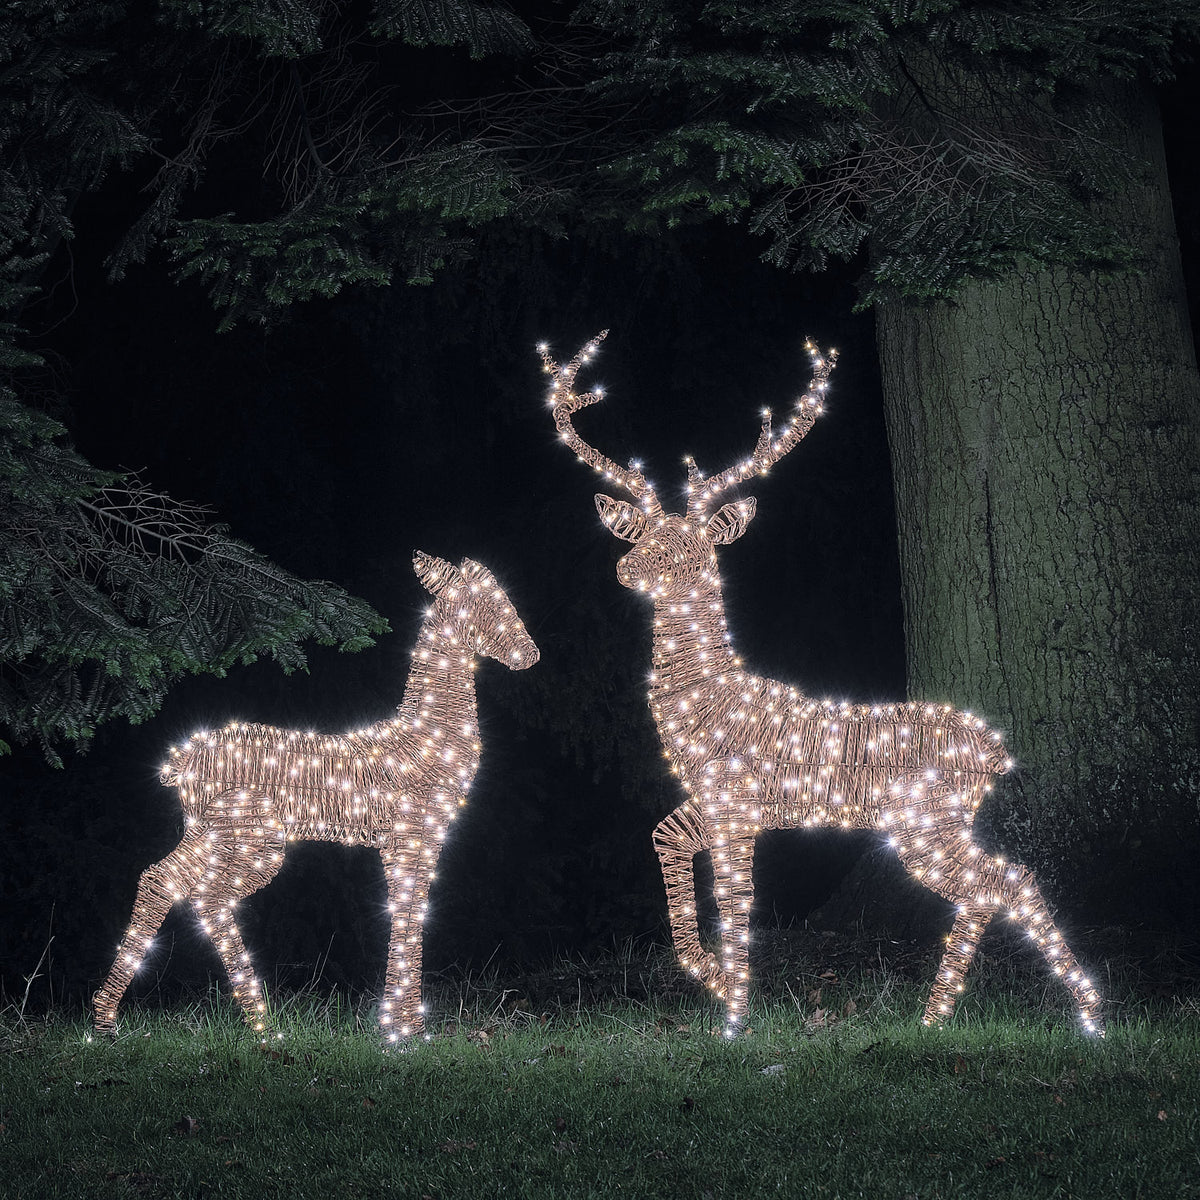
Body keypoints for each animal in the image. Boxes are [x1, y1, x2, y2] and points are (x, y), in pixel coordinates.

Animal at [93, 552, 539, 1044]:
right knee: (207, 896)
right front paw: (402, 1033)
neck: (426, 738)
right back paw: (261, 1023)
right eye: (486, 602)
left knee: (161, 879)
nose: (530, 653)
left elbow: (409, 908)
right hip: (251, 836)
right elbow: (407, 908)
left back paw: (108, 1019)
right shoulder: (413, 831)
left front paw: (404, 1024)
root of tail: (182, 760)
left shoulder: (407, 838)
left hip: (207, 831)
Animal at [540, 332, 1103, 1037]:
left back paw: (1086, 1011)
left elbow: (737, 900)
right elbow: (664, 840)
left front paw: (734, 1015)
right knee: (994, 885)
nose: (628, 565)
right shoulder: (713, 801)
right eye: (647, 533)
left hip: (925, 819)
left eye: (695, 546)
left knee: (1009, 881)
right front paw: (712, 979)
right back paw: (938, 1016)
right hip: (934, 823)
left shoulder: (736, 800)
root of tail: (996, 753)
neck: (705, 701)